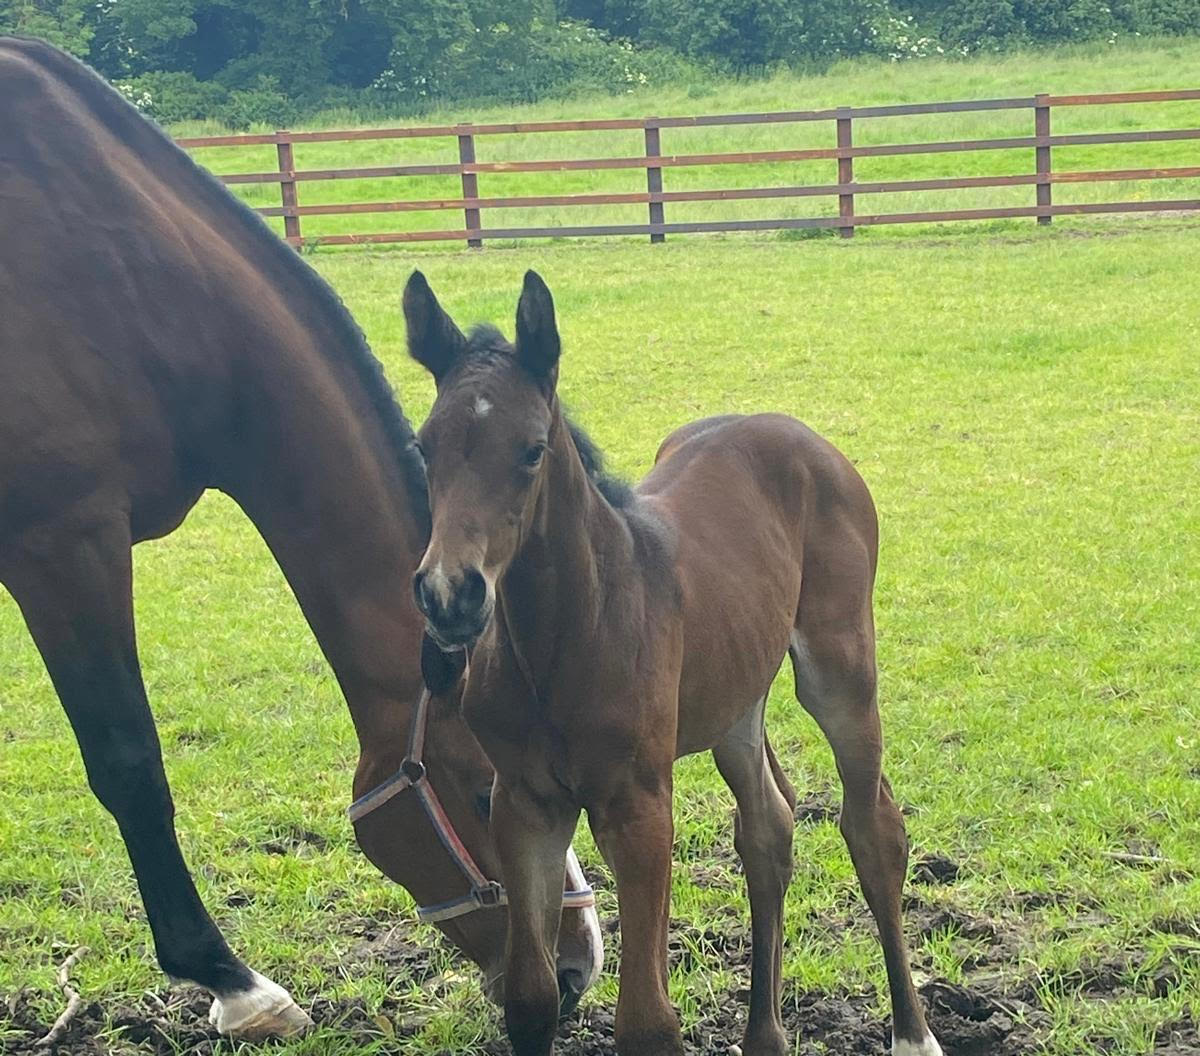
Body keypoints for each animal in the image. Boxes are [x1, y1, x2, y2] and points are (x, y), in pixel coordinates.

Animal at [0, 37, 601, 1037]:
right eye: (484, 789)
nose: (576, 965)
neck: (132, 289)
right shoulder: (62, 542)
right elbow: (129, 762)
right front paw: (234, 985)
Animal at [404, 269, 943, 1056]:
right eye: (424, 448)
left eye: (531, 450)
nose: (450, 593)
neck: (562, 638)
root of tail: (793, 431)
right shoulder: (526, 803)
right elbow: (532, 998)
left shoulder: (638, 803)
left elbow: (647, 1021)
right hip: (735, 701)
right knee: (768, 828)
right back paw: (764, 1037)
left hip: (840, 669)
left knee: (872, 827)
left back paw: (912, 1033)